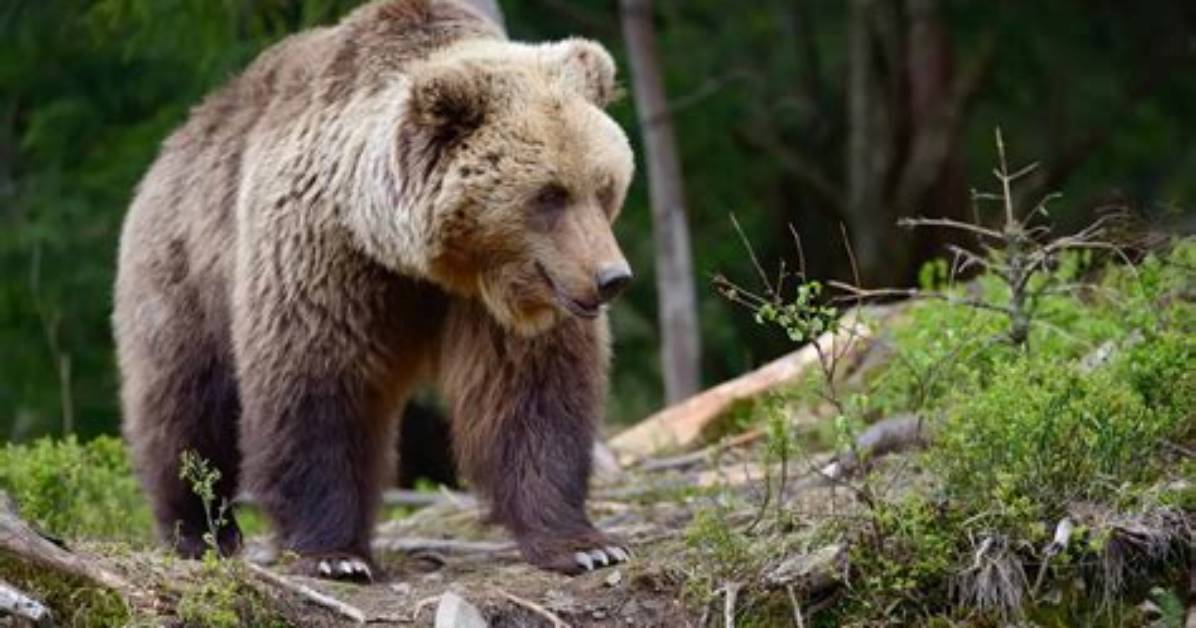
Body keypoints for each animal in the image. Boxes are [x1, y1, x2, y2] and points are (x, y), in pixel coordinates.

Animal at [113, 0, 634, 581]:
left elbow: (533, 393)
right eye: (549, 194)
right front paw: (334, 555)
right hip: (185, 269)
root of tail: (175, 141)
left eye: (604, 186)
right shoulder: (325, 255)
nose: (611, 277)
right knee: (184, 405)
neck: (428, 260)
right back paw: (199, 531)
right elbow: (319, 388)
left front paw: (582, 543)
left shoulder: (508, 303)